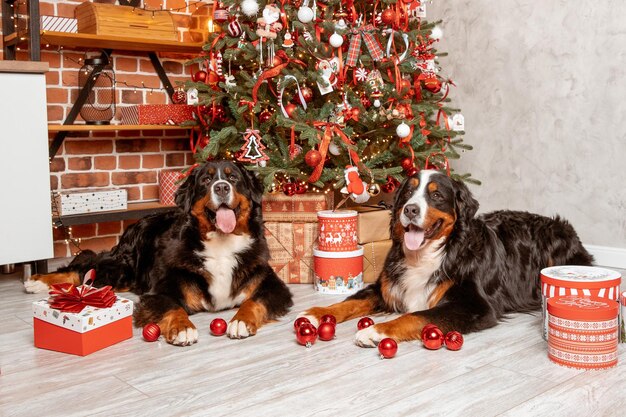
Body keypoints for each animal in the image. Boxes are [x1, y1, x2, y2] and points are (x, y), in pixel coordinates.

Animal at [25, 161, 294, 346]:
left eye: (234, 178)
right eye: (206, 181)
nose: (221, 187)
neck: (222, 245)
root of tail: (136, 223)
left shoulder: (272, 285)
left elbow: (253, 301)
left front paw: (240, 321)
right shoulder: (160, 291)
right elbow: (171, 306)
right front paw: (183, 328)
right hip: (120, 267)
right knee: (84, 267)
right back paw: (37, 281)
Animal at [298, 167, 588, 346]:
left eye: (436, 195)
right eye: (408, 192)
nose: (410, 209)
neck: (426, 255)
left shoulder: (474, 305)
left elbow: (416, 315)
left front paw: (375, 330)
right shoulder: (386, 287)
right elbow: (349, 302)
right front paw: (316, 313)